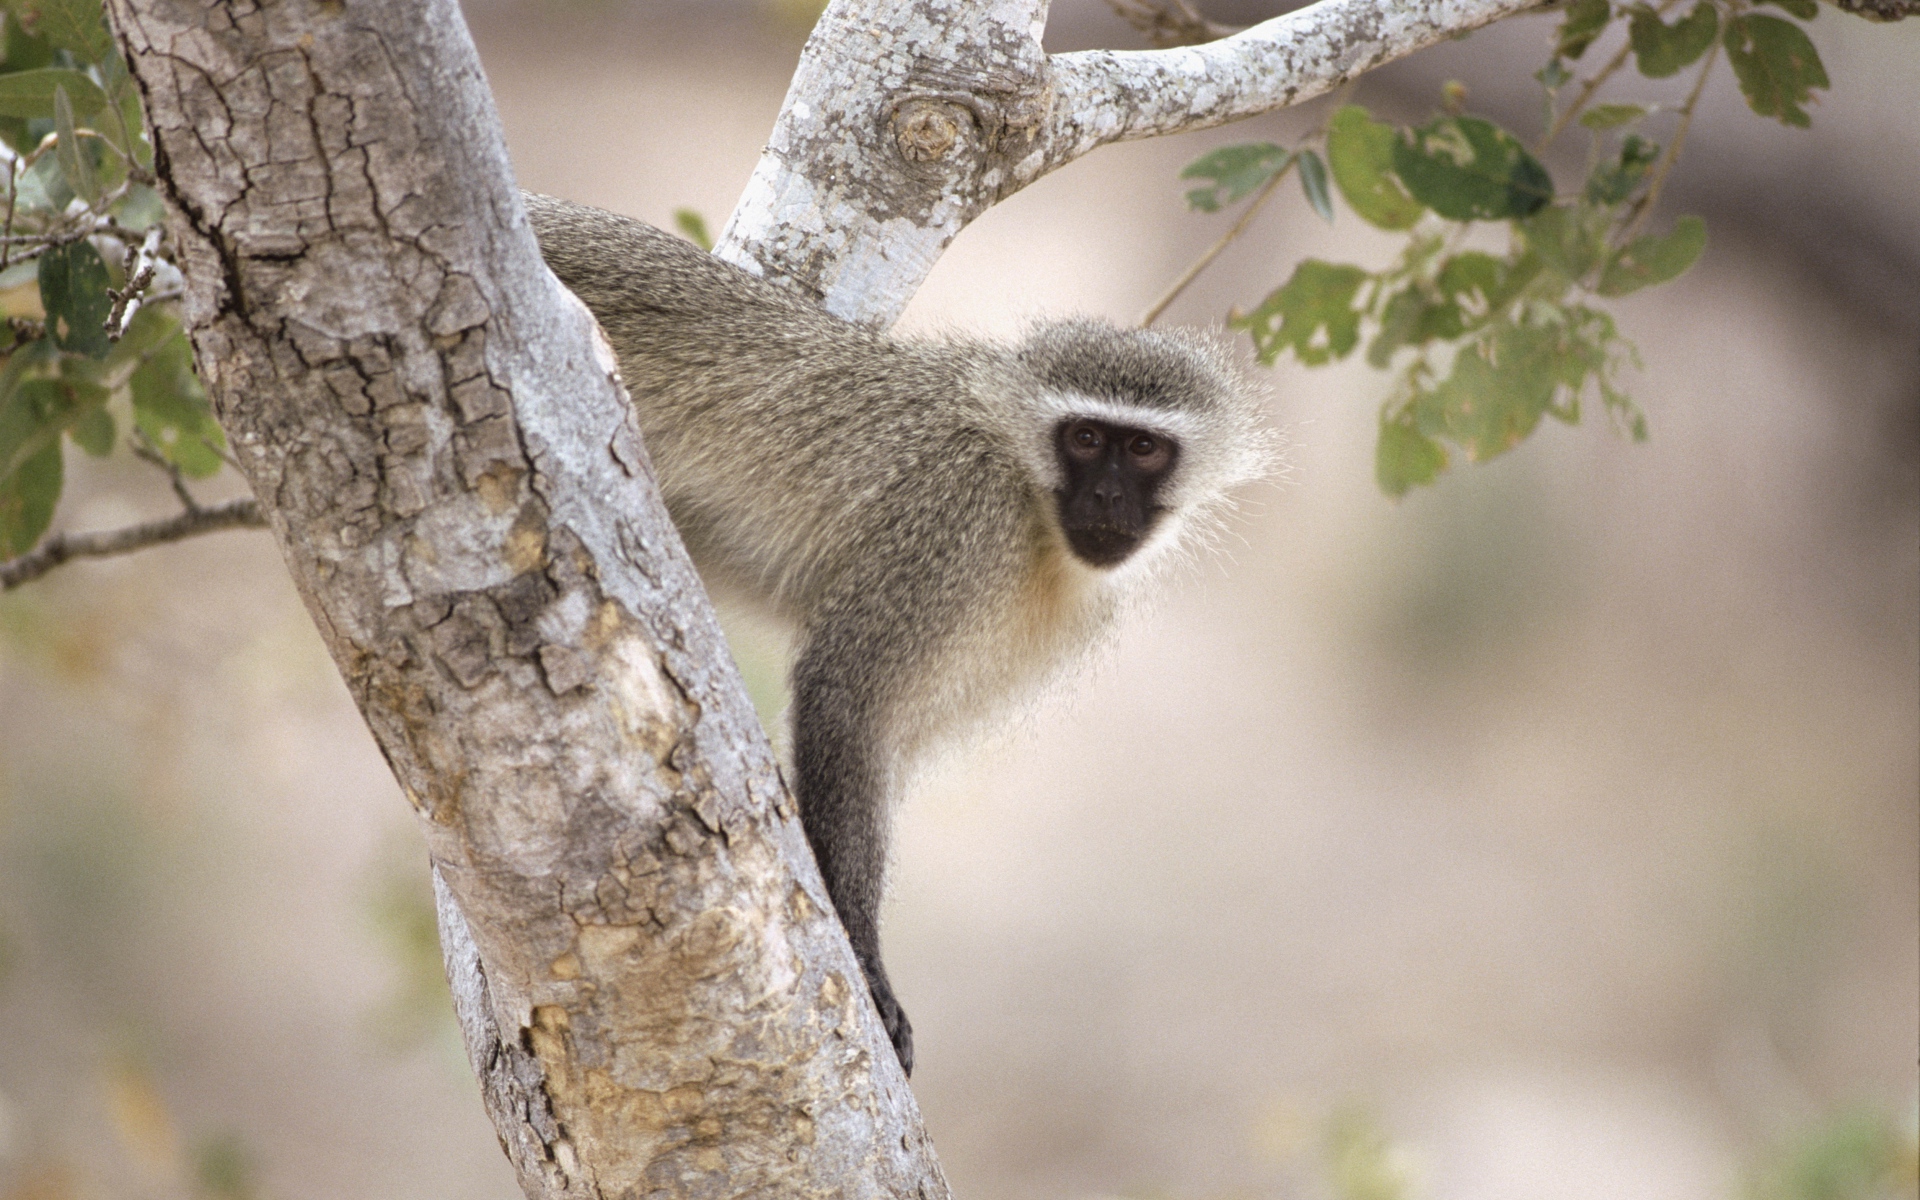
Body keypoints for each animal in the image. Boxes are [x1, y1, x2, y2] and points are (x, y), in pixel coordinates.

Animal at [525, 193, 1272, 1076]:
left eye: (1145, 449)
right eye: (1087, 439)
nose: (1107, 501)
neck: (1031, 505)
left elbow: (888, 749)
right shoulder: (958, 521)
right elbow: (847, 700)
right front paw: (865, 957)